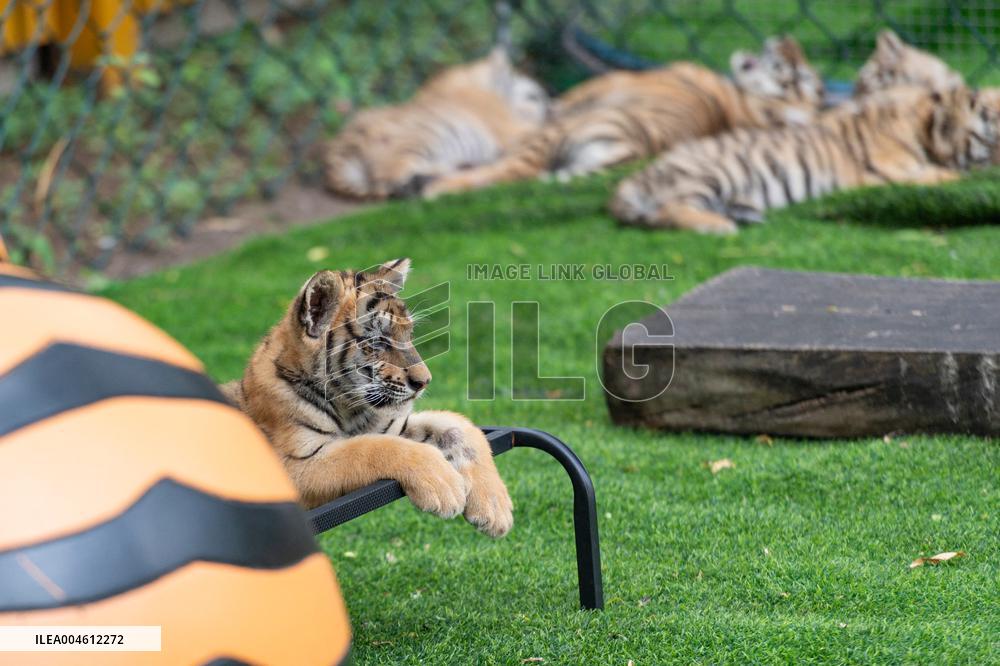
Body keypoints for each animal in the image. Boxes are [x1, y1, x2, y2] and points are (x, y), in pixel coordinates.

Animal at [222, 259, 513, 537]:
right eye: (378, 341)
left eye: (409, 334)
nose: (424, 382)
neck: (349, 407)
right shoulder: (295, 466)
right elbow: (370, 448)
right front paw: (444, 487)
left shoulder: (394, 424)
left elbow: (457, 425)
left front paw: (495, 509)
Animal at [324, 48, 549, 200]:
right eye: (535, 97)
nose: (549, 107)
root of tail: (334, 162)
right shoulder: (509, 128)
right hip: (420, 140)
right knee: (395, 176)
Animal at [420, 36, 825, 198]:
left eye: (793, 71)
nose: (786, 39)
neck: (742, 107)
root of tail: (632, 151)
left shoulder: (607, 84)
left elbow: (562, 100)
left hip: (559, 135)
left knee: (510, 170)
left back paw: (432, 186)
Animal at [610, 85, 1000, 234]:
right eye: (989, 138)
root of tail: (629, 182)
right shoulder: (888, 175)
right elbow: (951, 178)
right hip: (713, 173)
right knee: (667, 210)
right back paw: (718, 226)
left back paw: (744, 215)